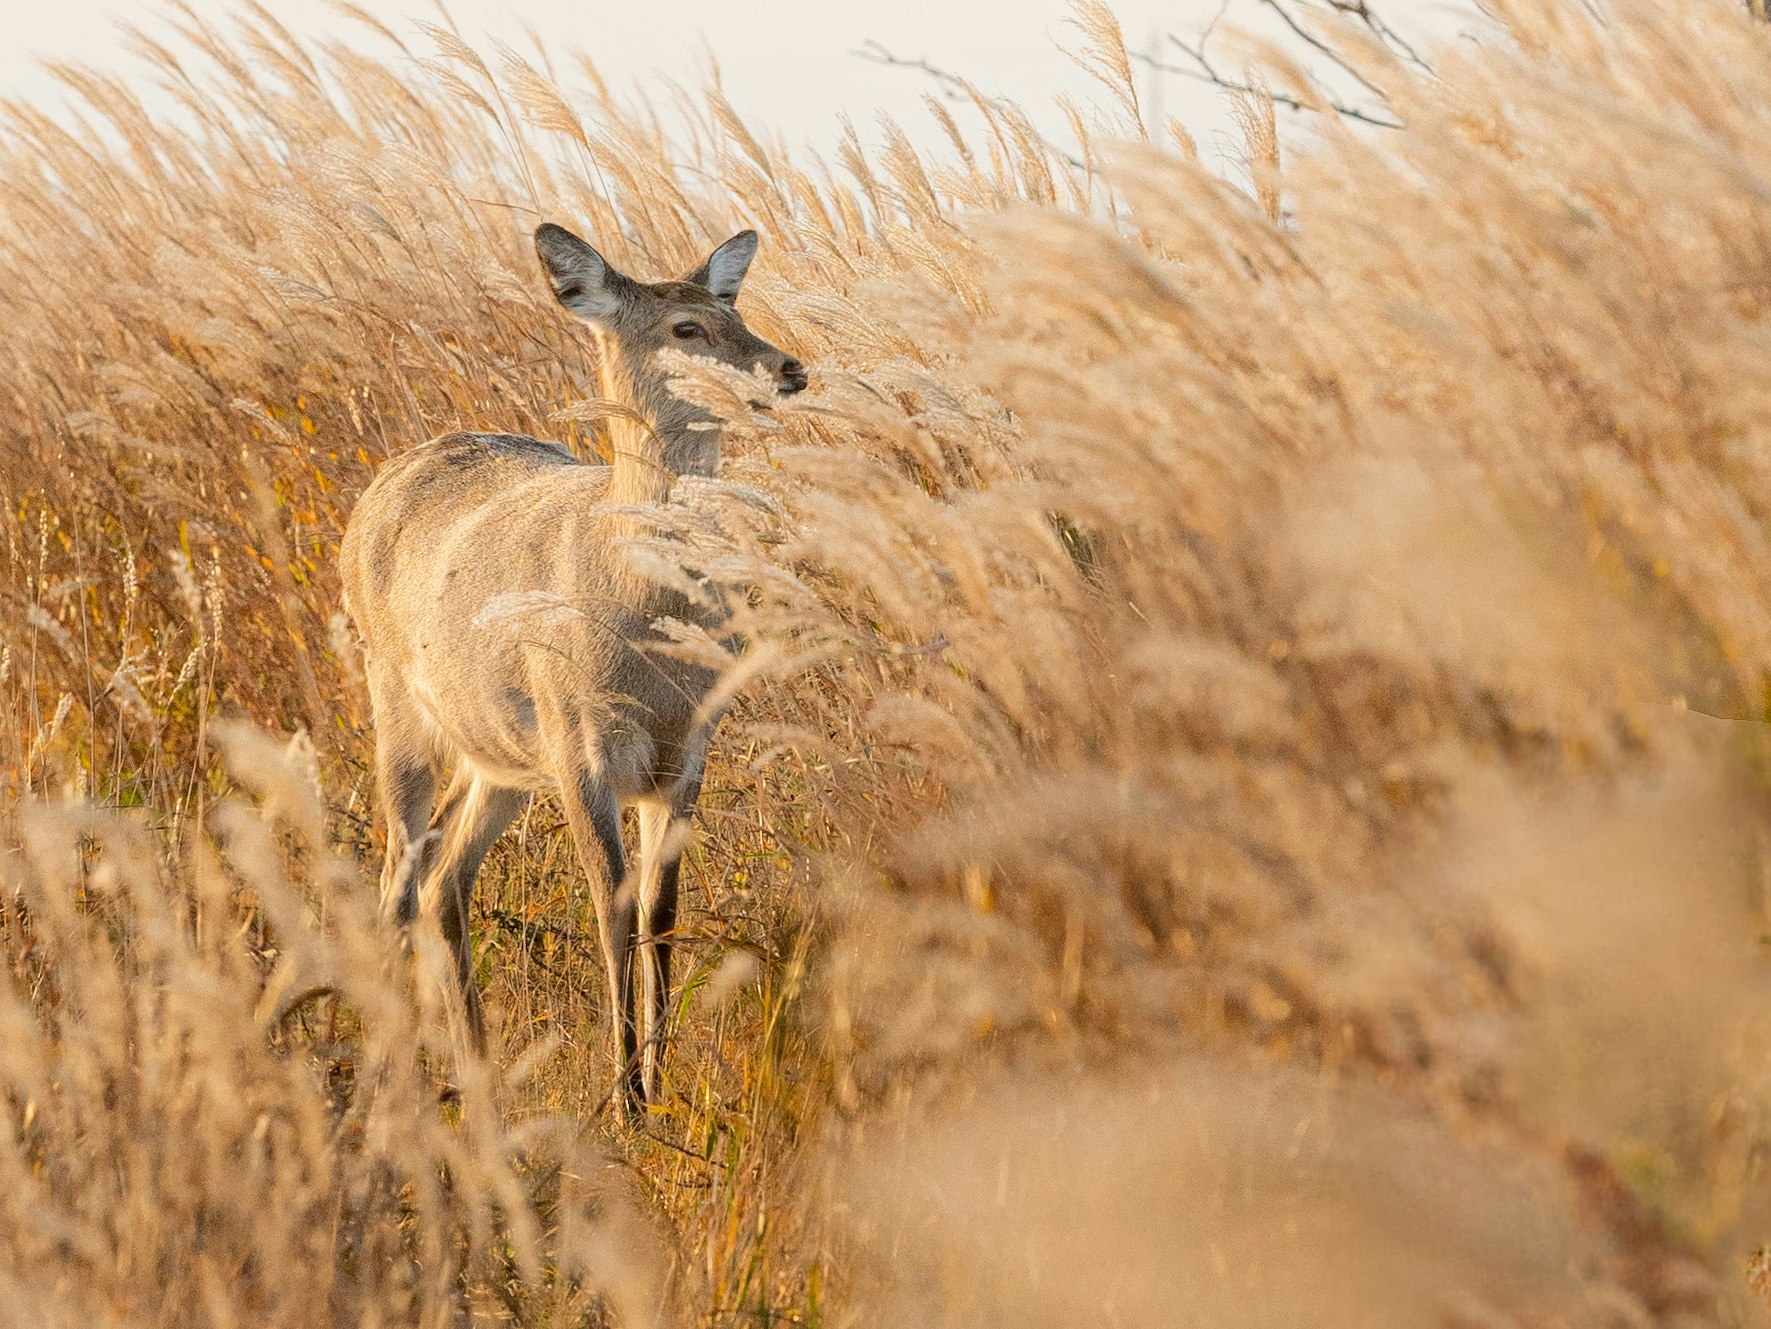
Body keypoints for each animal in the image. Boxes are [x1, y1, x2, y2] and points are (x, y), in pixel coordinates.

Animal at [339, 221, 805, 1114]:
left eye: (733, 308)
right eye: (685, 328)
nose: (789, 369)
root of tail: (386, 479)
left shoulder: (686, 750)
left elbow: (661, 909)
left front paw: (661, 1081)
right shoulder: (580, 739)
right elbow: (611, 906)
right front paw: (624, 1097)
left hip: (500, 757)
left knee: (444, 877)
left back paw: (477, 1070)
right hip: (399, 706)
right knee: (396, 879)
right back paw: (386, 1080)